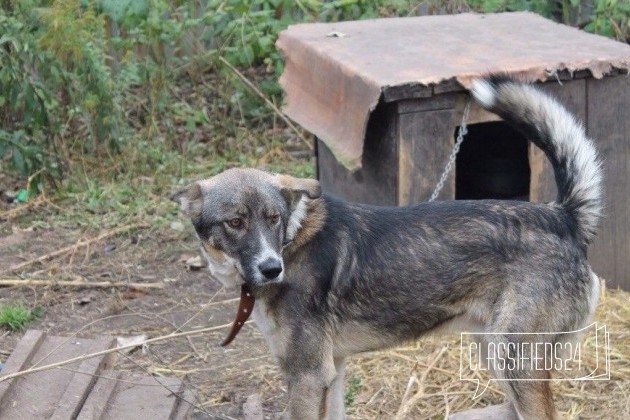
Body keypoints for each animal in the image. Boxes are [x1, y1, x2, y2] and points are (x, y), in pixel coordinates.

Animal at [172, 77, 604, 418]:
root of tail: (562, 217)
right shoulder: (332, 371)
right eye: (235, 222)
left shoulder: (307, 376)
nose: (271, 269)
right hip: (493, 352)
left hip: (515, 361)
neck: (292, 241)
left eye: (273, 217)